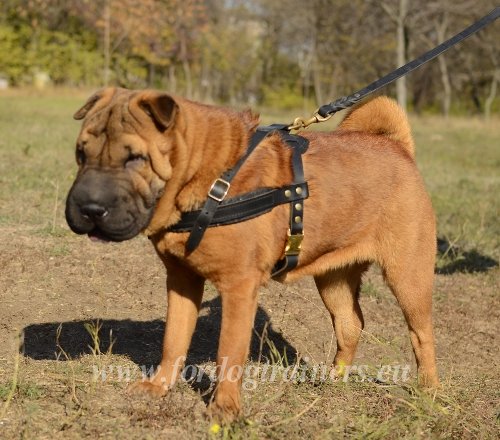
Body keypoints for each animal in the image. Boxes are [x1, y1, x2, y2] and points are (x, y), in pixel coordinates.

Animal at [65, 87, 438, 422]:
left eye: (135, 158)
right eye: (81, 153)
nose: (89, 208)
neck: (209, 178)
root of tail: (398, 147)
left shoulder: (238, 286)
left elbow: (229, 353)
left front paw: (225, 410)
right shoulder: (182, 279)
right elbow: (173, 340)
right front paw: (158, 387)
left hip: (407, 276)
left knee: (422, 335)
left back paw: (429, 393)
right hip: (333, 277)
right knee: (351, 324)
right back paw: (333, 380)